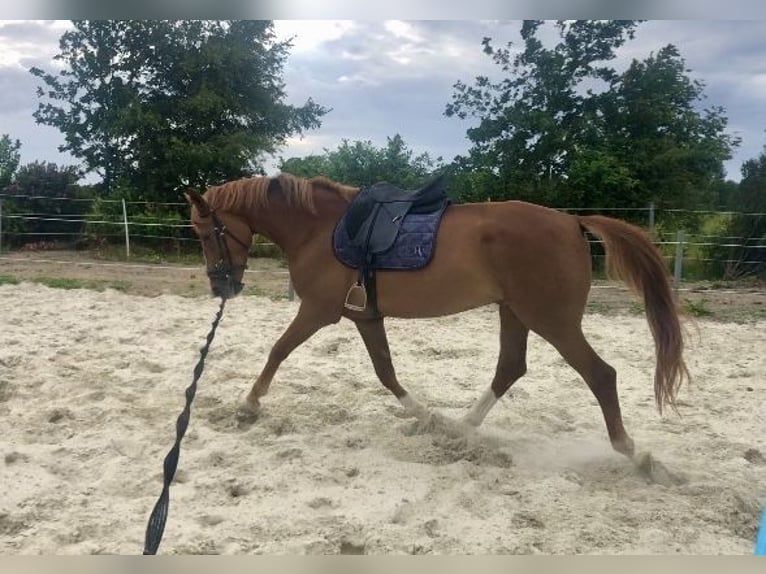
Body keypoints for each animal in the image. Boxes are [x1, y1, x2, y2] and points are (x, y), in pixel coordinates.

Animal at [186, 172, 688, 464]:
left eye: (205, 231)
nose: (221, 288)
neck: (321, 229)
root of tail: (571, 222)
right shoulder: (364, 316)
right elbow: (386, 371)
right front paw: (424, 415)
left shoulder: (317, 311)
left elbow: (278, 350)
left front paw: (249, 404)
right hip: (516, 312)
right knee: (511, 367)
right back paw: (459, 428)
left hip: (552, 320)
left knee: (600, 374)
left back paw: (631, 453)